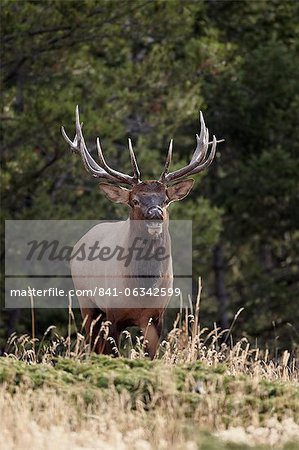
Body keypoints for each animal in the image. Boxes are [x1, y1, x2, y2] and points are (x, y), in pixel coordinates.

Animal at [62, 107, 223, 356]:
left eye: (165, 200)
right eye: (135, 200)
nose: (155, 213)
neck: (141, 289)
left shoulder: (156, 315)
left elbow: (152, 355)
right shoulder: (113, 313)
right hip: (86, 302)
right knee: (93, 346)